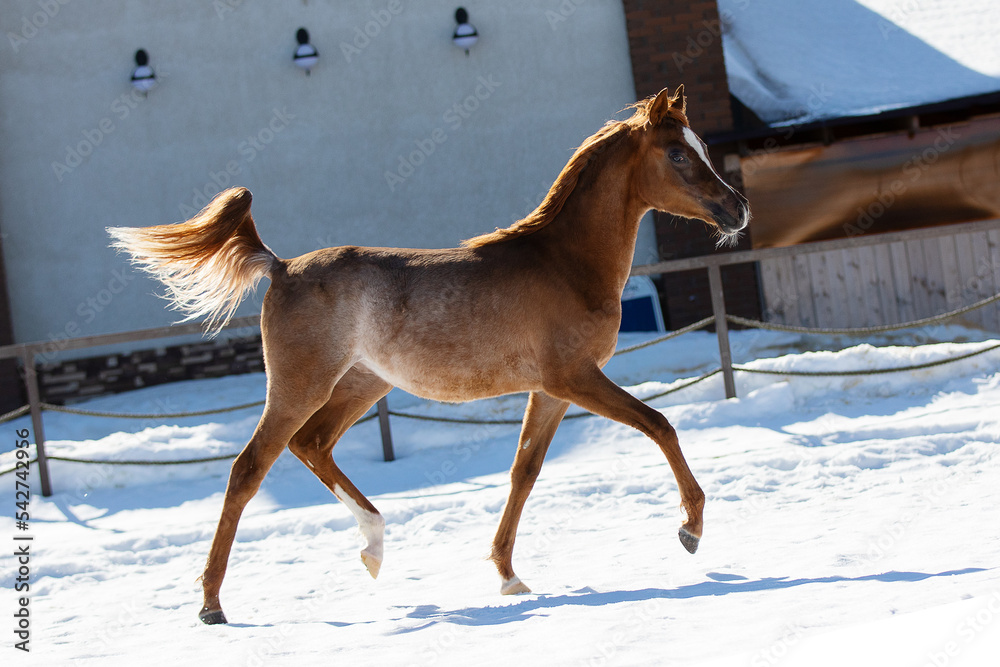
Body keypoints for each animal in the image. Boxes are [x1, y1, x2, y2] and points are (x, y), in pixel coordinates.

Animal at [111, 86, 752, 624]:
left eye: (700, 148)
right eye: (677, 154)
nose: (738, 210)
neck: (565, 264)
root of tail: (282, 266)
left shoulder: (549, 390)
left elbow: (524, 472)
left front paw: (507, 575)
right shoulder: (575, 378)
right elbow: (659, 424)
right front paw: (691, 528)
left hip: (361, 385)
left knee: (312, 445)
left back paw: (372, 547)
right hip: (300, 387)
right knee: (248, 469)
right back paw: (212, 604)